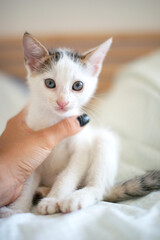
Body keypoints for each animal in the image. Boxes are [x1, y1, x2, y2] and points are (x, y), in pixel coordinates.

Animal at [0, 32, 119, 217]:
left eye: (78, 85)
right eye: (50, 83)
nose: (63, 102)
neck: (55, 120)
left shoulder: (81, 146)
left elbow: (68, 175)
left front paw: (53, 200)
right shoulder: (33, 144)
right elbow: (27, 181)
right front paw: (17, 209)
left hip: (103, 141)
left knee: (98, 187)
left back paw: (76, 197)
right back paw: (42, 191)